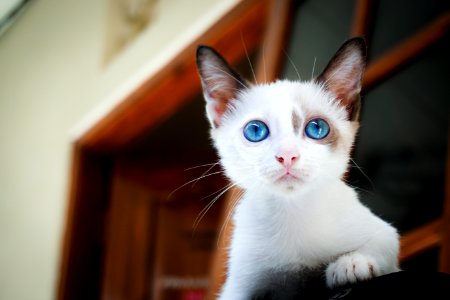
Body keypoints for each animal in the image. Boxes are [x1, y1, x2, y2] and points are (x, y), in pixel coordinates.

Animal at [195, 38, 400, 300]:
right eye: (255, 131)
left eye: (317, 128)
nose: (287, 156)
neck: (292, 212)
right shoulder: (238, 289)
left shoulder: (383, 231)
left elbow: (384, 243)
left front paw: (353, 264)